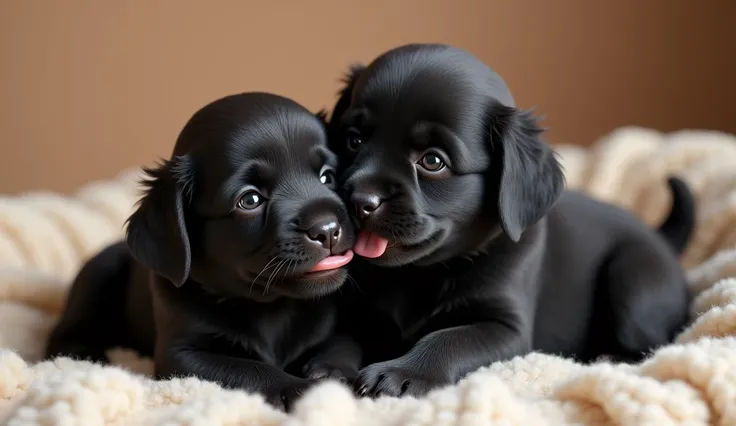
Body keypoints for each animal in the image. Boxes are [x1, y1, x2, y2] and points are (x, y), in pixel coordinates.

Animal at [44, 92, 360, 410]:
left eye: (327, 177)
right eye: (250, 200)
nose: (327, 229)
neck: (271, 307)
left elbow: (344, 345)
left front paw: (330, 370)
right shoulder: (182, 356)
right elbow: (252, 369)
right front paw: (302, 389)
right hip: (97, 273)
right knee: (62, 339)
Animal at [328, 45, 696, 400]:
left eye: (432, 161)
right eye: (353, 140)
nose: (359, 200)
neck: (417, 275)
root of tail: (661, 239)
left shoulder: (505, 328)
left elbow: (447, 339)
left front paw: (401, 372)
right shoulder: (356, 312)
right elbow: (341, 338)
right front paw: (328, 368)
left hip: (635, 279)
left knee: (647, 346)